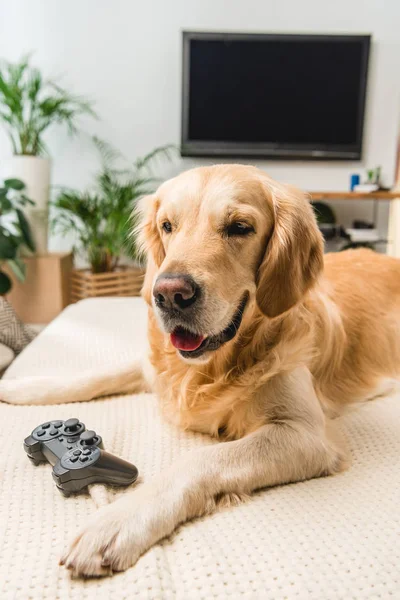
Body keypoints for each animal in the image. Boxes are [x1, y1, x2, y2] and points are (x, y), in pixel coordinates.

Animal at [1, 164, 398, 576]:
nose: (168, 294)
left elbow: (203, 459)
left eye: (239, 227)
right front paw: (23, 388)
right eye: (167, 225)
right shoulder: (155, 367)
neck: (215, 364)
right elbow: (96, 375)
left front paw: (118, 521)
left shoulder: (306, 434)